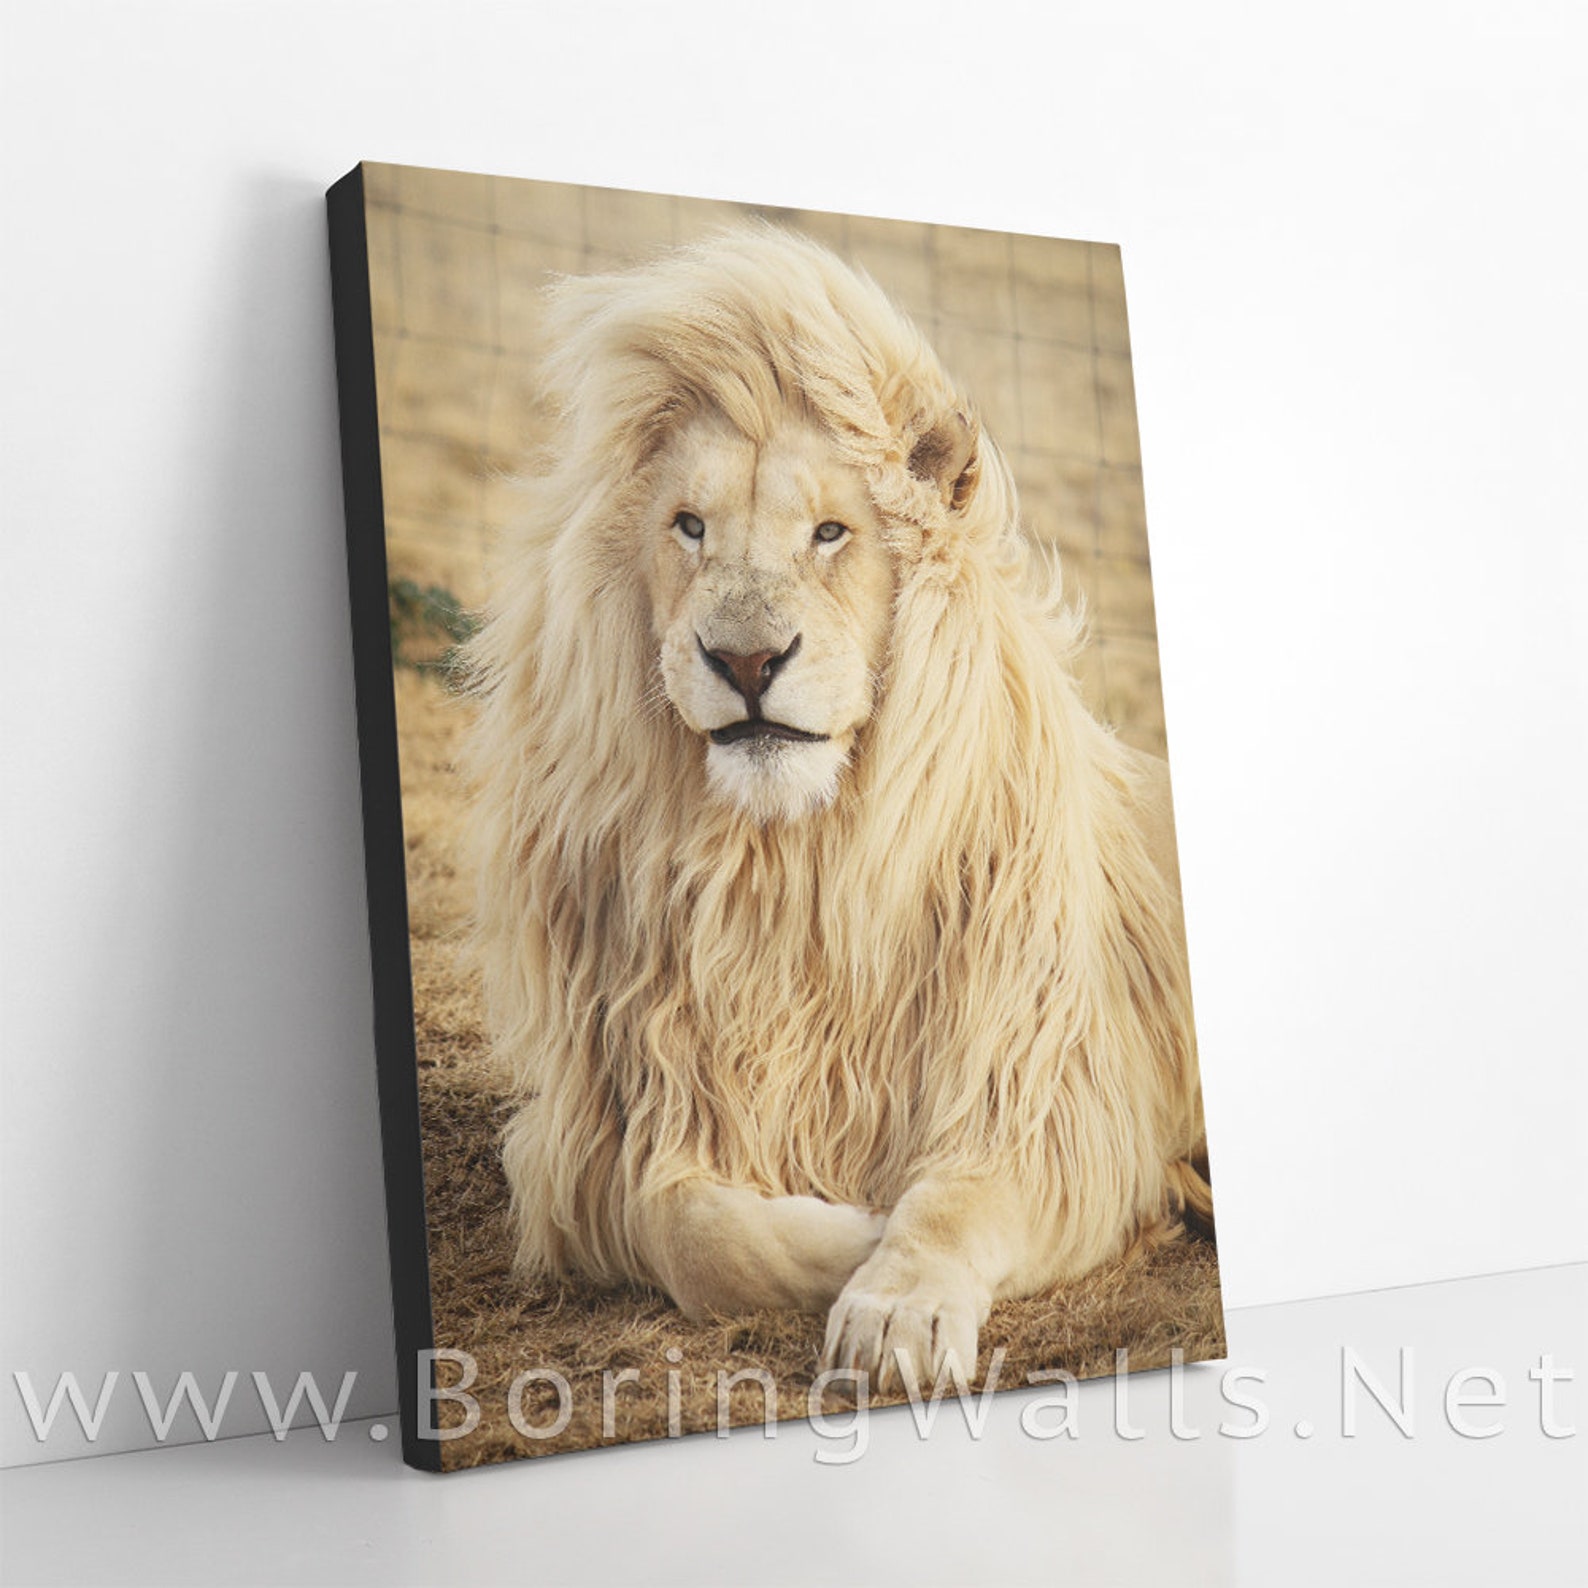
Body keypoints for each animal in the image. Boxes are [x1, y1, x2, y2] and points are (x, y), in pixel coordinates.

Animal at [464, 224, 1212, 1390]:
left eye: (829, 533)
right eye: (689, 526)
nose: (745, 660)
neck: (792, 868)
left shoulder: (1051, 1101)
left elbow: (953, 1200)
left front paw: (895, 1303)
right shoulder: (608, 1131)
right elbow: (692, 1228)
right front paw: (849, 1232)